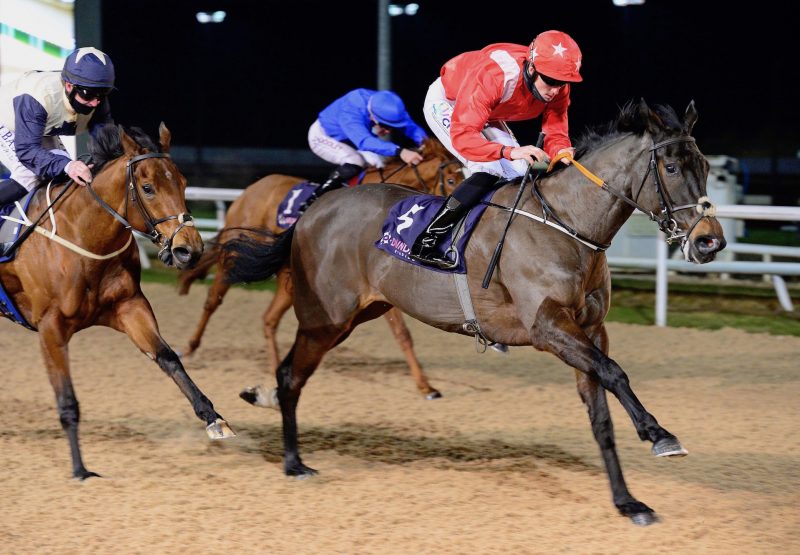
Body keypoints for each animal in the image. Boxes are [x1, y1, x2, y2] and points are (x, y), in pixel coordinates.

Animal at [0, 124, 234, 480]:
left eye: (182, 183)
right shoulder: (51, 327)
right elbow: (67, 399)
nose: (189, 250)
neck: (82, 235)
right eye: (148, 188)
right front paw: (81, 469)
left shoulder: (130, 306)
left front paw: (214, 418)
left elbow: (169, 358)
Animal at [175, 136, 462, 402]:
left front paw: (426, 385)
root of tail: (251, 189)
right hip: (235, 257)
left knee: (269, 318)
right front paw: (425, 386)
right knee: (213, 300)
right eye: (450, 179)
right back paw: (189, 347)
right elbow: (402, 332)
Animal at [222, 101, 728, 524]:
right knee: (290, 374)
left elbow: (601, 413)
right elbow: (615, 373)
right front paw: (659, 434)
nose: (710, 241)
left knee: (292, 371)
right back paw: (293, 460)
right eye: (671, 167)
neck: (567, 224)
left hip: (355, 316)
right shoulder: (548, 328)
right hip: (324, 316)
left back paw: (268, 407)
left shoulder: (590, 331)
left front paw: (628, 501)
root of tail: (312, 210)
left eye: (705, 167)